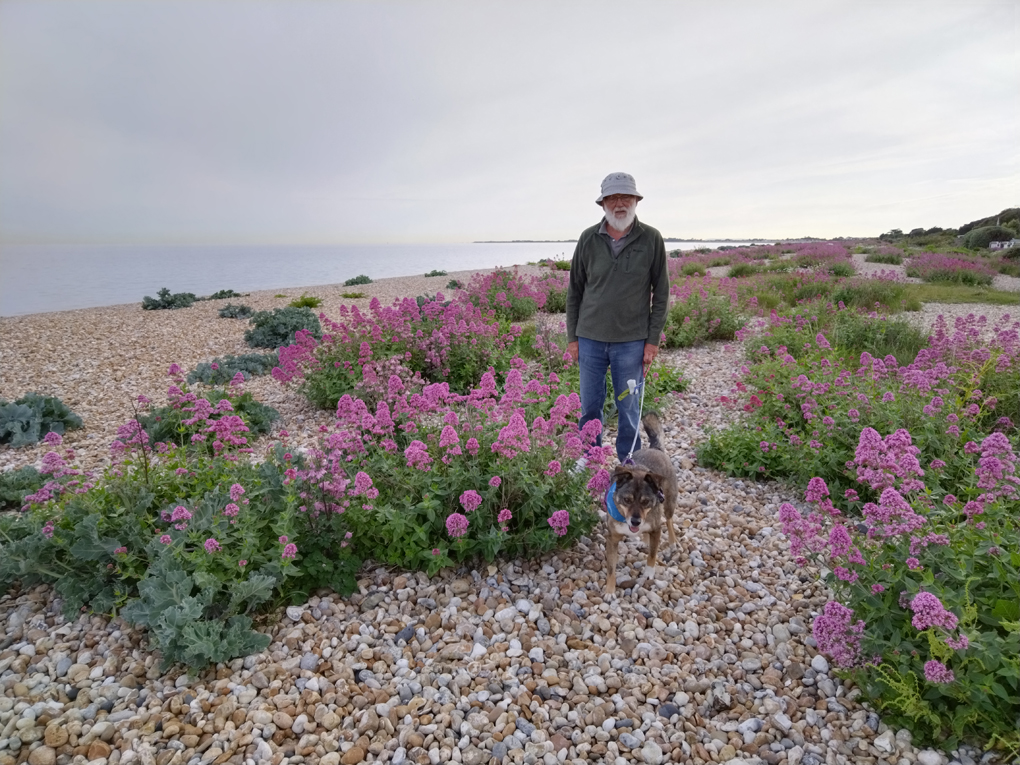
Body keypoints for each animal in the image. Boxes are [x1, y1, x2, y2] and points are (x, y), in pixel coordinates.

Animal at [603, 414, 677, 599]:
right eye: (626, 500)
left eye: (646, 501)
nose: (635, 522)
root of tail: (656, 448)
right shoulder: (612, 539)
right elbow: (611, 568)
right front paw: (610, 591)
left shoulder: (656, 529)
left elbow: (652, 554)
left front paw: (649, 573)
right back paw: (644, 539)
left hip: (669, 503)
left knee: (669, 521)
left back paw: (673, 542)